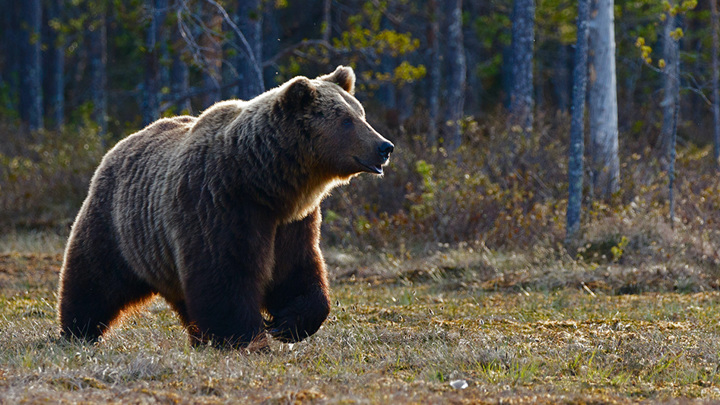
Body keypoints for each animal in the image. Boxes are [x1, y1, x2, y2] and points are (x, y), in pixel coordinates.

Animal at [56, 65, 394, 348]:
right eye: (346, 120)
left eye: (361, 114)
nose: (385, 146)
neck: (264, 182)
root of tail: (120, 144)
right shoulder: (219, 204)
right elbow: (225, 275)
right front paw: (247, 337)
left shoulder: (293, 222)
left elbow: (297, 270)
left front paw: (287, 323)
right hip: (118, 224)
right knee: (93, 278)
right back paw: (77, 331)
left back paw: (198, 338)